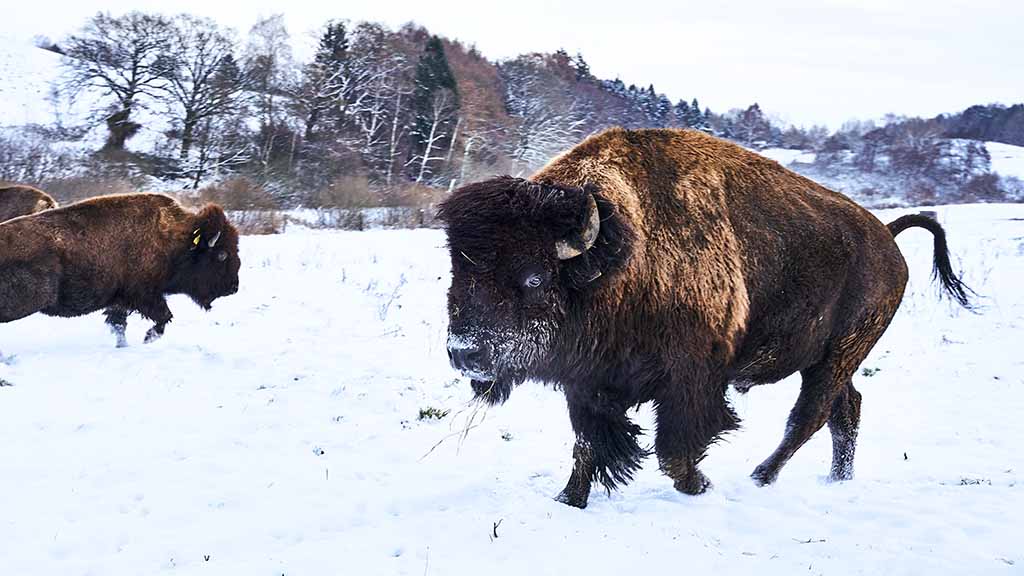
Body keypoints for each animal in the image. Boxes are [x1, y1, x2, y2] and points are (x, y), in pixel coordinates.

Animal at [0, 192, 241, 344]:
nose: (233, 287)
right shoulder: (145, 296)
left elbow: (118, 325)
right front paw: (147, 339)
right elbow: (164, 318)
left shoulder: (121, 301)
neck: (176, 239)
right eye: (222, 255)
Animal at [436, 126, 970, 506]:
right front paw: (568, 499)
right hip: (827, 360)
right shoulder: (587, 384)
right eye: (457, 269)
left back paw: (761, 477)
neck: (620, 253)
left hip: (839, 354)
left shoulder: (689, 380)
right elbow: (588, 444)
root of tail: (887, 237)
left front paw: (702, 486)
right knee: (846, 410)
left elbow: (674, 451)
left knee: (812, 414)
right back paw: (835, 481)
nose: (465, 354)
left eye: (533, 277)